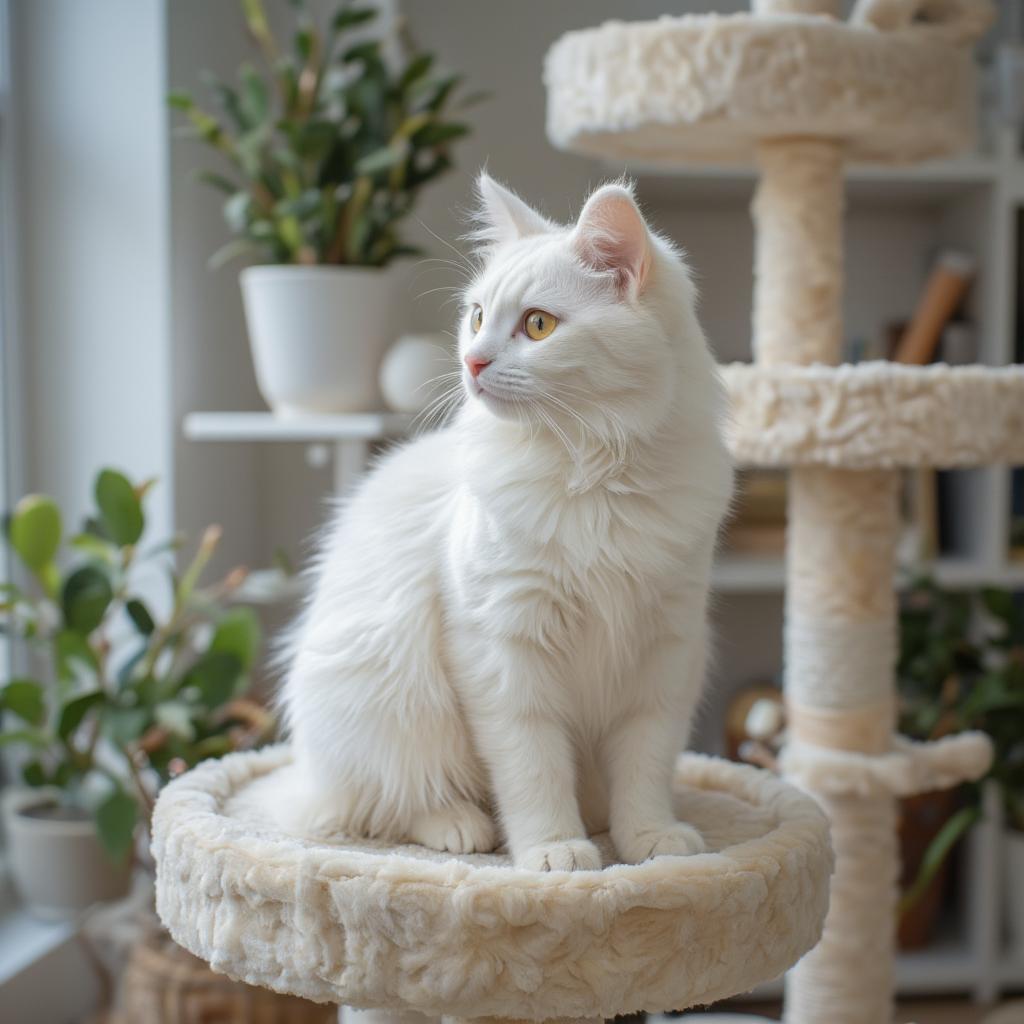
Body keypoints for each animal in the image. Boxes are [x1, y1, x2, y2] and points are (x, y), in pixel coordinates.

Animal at [276, 176, 733, 872]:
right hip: (385, 686)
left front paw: (649, 841)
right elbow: (533, 767)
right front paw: (554, 851)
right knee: (389, 802)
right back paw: (462, 827)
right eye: (477, 317)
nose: (472, 362)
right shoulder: (504, 649)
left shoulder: (666, 650)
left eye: (538, 325)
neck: (595, 476)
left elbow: (646, 767)